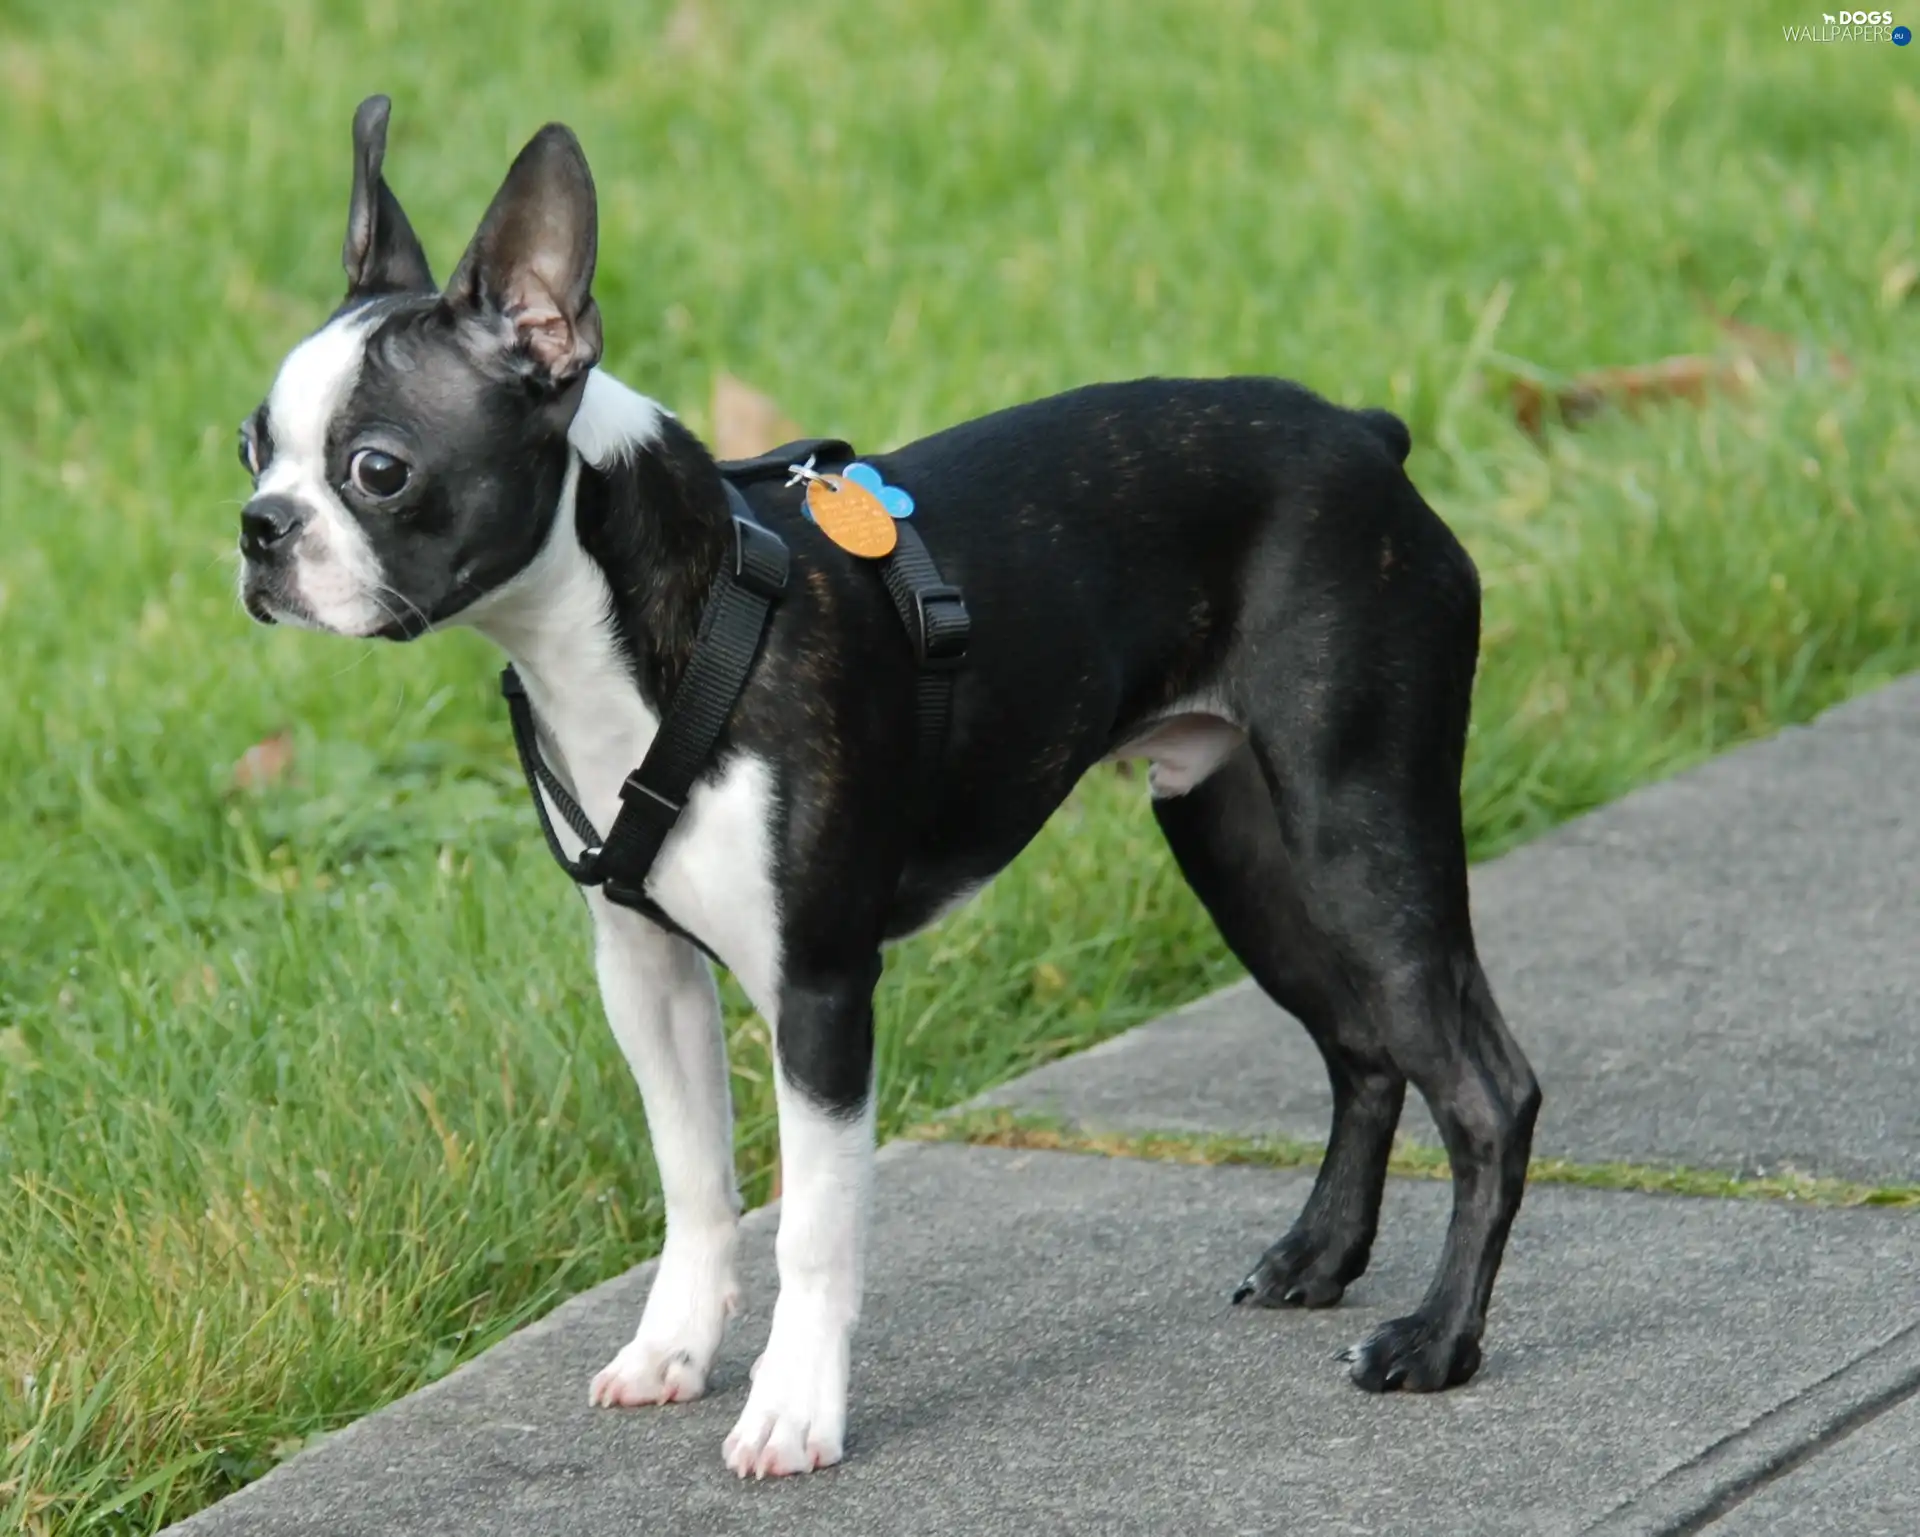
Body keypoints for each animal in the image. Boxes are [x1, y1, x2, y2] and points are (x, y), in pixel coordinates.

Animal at [236, 95, 1543, 1473]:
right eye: (250, 448)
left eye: (380, 470)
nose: (259, 528)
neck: (639, 627)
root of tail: (1365, 435)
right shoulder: (642, 969)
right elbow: (695, 1181)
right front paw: (674, 1348)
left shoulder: (819, 987)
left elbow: (814, 1223)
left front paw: (792, 1411)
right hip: (1237, 843)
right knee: (1363, 1049)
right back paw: (1320, 1257)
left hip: (1358, 825)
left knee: (1485, 1089)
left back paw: (1437, 1341)